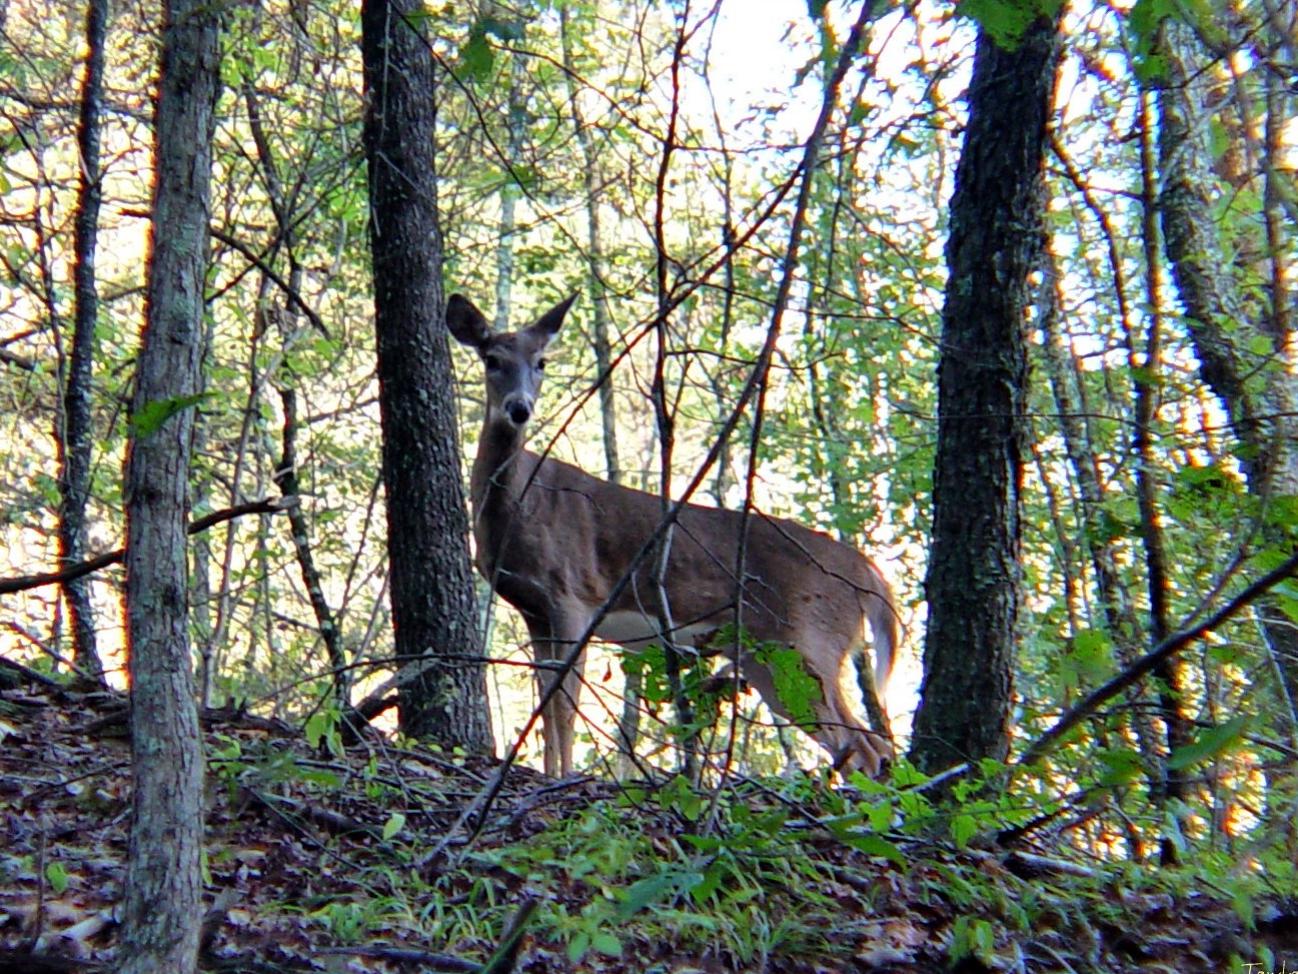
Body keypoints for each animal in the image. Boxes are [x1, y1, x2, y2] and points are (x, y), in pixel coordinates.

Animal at [446, 293, 897, 779]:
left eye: (542, 361)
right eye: (492, 359)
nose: (519, 408)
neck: (519, 506)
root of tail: (868, 574)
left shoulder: (573, 595)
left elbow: (564, 703)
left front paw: (564, 778)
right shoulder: (534, 610)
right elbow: (546, 702)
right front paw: (548, 773)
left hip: (807, 638)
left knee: (865, 744)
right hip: (771, 656)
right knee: (864, 745)